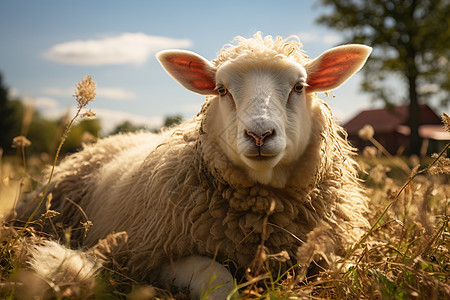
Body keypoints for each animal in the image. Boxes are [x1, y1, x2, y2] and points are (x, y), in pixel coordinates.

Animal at [19, 31, 370, 298]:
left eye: (299, 87)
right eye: (222, 90)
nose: (259, 135)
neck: (263, 218)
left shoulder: (328, 247)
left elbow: (351, 269)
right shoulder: (158, 256)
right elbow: (218, 279)